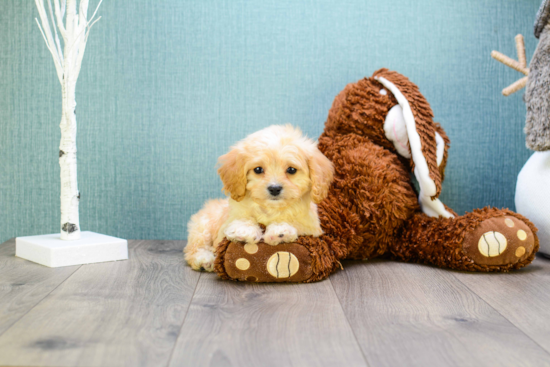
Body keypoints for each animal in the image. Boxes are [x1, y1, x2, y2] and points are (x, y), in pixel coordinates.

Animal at [185, 125, 334, 272]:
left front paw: (280, 231)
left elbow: (297, 224)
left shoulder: (312, 229)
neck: (271, 208)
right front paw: (244, 230)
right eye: (258, 170)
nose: (274, 188)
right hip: (202, 226)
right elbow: (242, 220)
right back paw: (205, 259)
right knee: (194, 247)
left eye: (291, 170)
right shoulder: (227, 224)